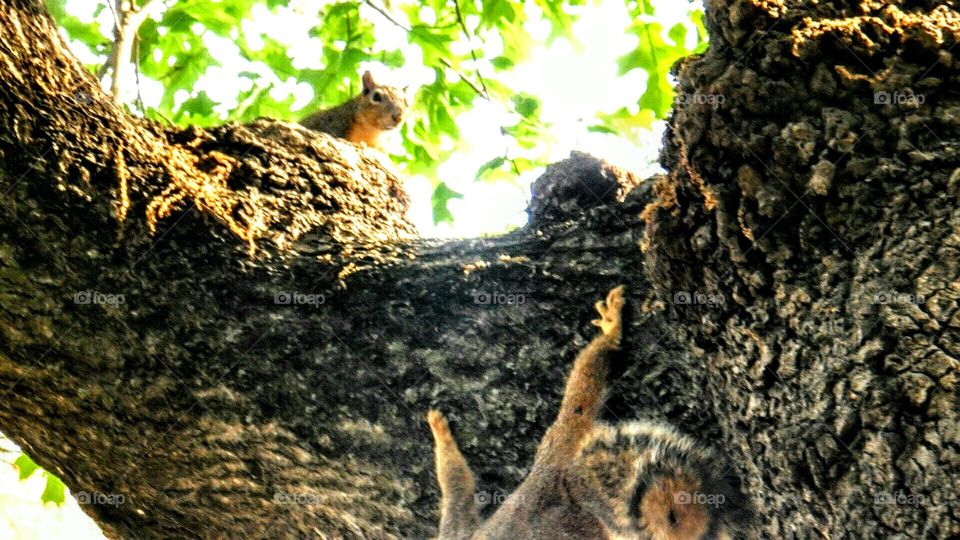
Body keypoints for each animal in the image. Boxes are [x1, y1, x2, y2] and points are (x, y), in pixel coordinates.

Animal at [427, 286, 754, 539]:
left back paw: (610, 330)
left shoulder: (454, 534)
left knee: (581, 391)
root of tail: (573, 488)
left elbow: (455, 490)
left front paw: (439, 433)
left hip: (559, 438)